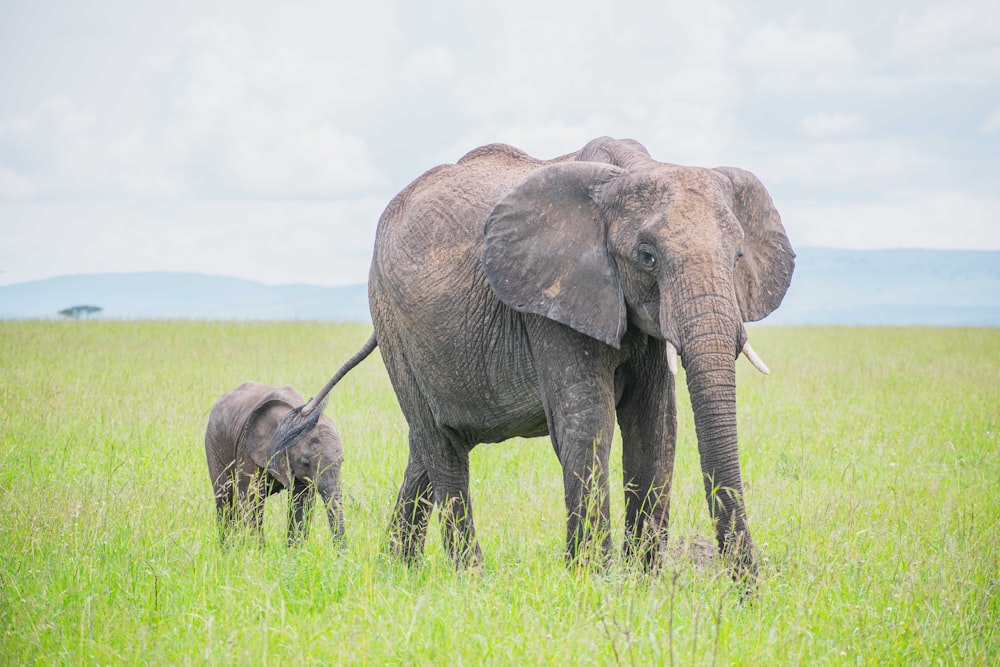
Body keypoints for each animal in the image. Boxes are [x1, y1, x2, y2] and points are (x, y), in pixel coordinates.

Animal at [202, 380, 344, 548]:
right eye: (305, 463)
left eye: (342, 460)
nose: (340, 554)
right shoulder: (248, 447)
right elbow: (251, 498)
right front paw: (257, 551)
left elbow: (301, 502)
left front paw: (294, 552)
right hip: (213, 443)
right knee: (225, 496)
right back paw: (227, 549)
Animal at [358, 137, 788, 584]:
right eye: (647, 256)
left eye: (738, 256)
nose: (747, 589)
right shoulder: (551, 300)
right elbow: (588, 420)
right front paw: (593, 580)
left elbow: (656, 424)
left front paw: (641, 582)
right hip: (391, 322)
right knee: (441, 445)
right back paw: (469, 576)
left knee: (427, 445)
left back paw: (398, 568)